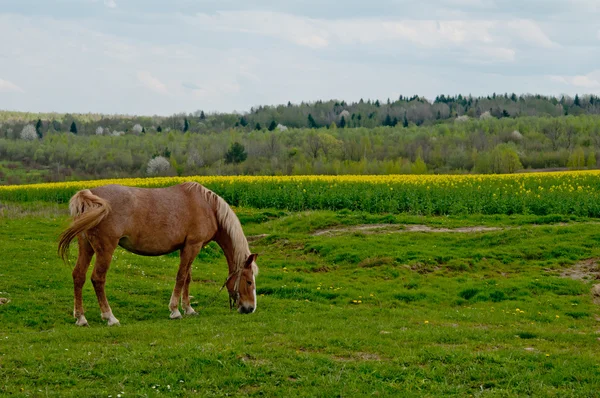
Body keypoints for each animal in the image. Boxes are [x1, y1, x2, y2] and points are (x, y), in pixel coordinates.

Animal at [56, 182, 260, 324]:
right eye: (249, 282)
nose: (250, 308)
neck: (208, 207)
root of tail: (91, 195)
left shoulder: (188, 247)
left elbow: (187, 278)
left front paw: (188, 309)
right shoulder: (193, 246)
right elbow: (181, 277)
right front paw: (175, 311)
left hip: (87, 248)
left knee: (79, 276)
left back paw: (81, 318)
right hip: (105, 250)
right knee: (98, 279)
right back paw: (110, 317)